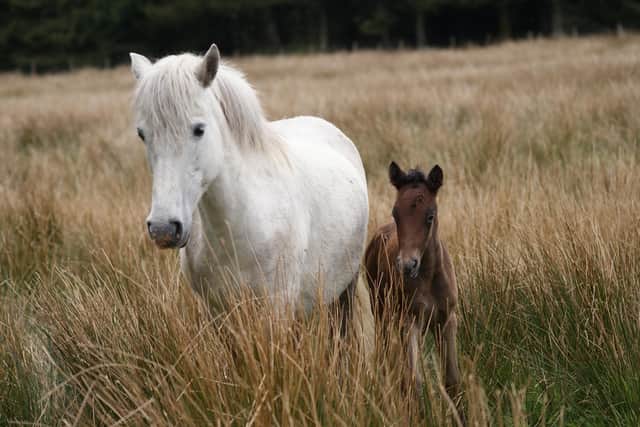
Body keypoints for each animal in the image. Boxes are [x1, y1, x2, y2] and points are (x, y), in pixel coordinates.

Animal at [128, 44, 373, 340]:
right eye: (142, 134)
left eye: (199, 129)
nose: (163, 229)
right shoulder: (216, 313)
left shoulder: (278, 308)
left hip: (345, 289)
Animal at [364, 161, 461, 401]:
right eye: (396, 213)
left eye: (430, 216)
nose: (407, 265)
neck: (428, 278)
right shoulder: (409, 322)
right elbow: (413, 382)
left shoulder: (447, 320)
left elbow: (452, 381)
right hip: (381, 311)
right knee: (384, 355)